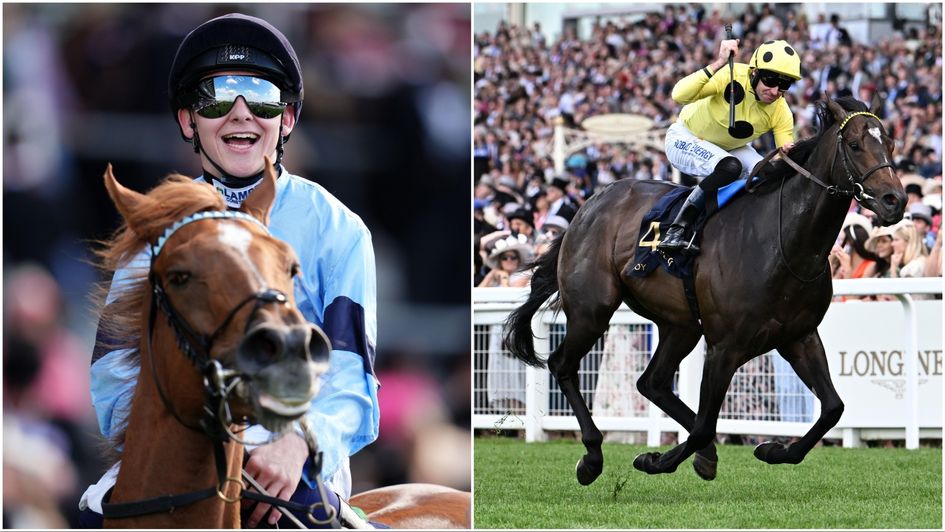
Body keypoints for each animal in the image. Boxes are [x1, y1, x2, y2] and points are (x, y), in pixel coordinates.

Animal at [506, 96, 904, 486]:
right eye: (854, 145)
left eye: (890, 143)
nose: (894, 200)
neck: (784, 244)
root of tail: (589, 203)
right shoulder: (725, 347)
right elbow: (702, 427)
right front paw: (653, 460)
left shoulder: (799, 336)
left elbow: (832, 408)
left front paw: (772, 449)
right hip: (593, 309)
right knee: (563, 364)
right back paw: (592, 456)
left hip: (680, 324)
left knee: (652, 382)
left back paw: (703, 454)